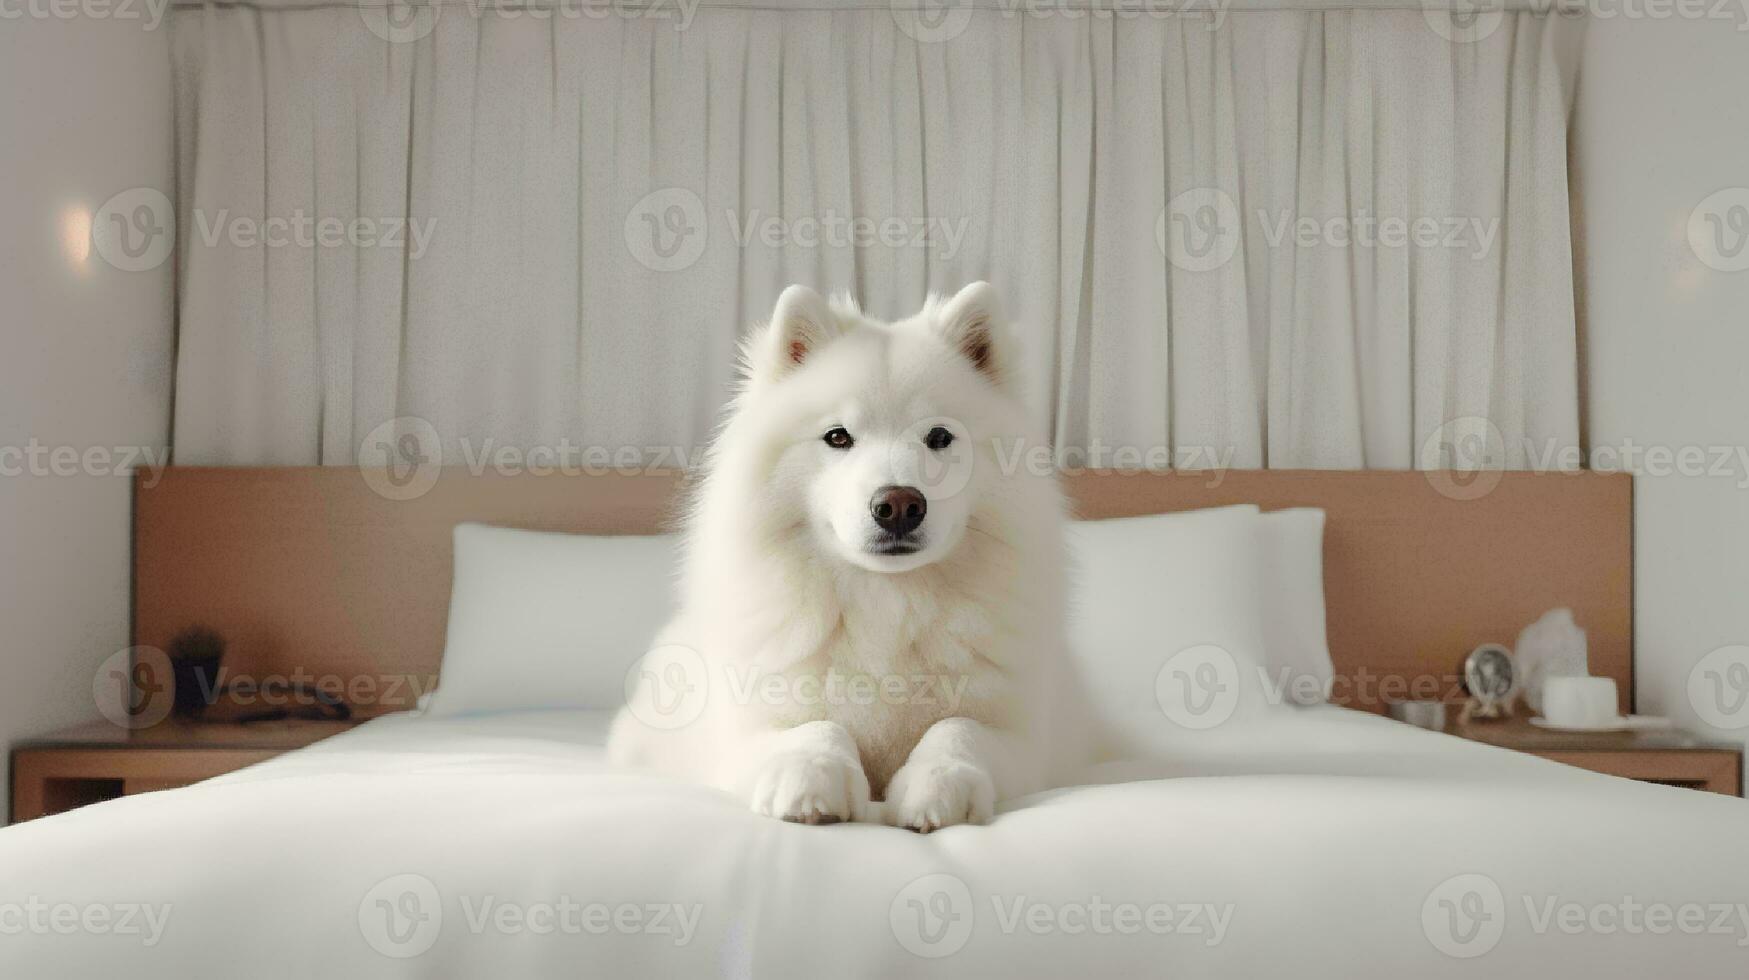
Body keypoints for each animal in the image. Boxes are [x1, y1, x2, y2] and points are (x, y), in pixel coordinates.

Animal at [608, 280, 1084, 829]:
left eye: (939, 437)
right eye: (838, 437)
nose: (899, 505)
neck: (887, 605)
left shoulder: (1023, 742)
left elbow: (958, 730)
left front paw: (938, 786)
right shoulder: (746, 732)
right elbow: (813, 727)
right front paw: (811, 780)